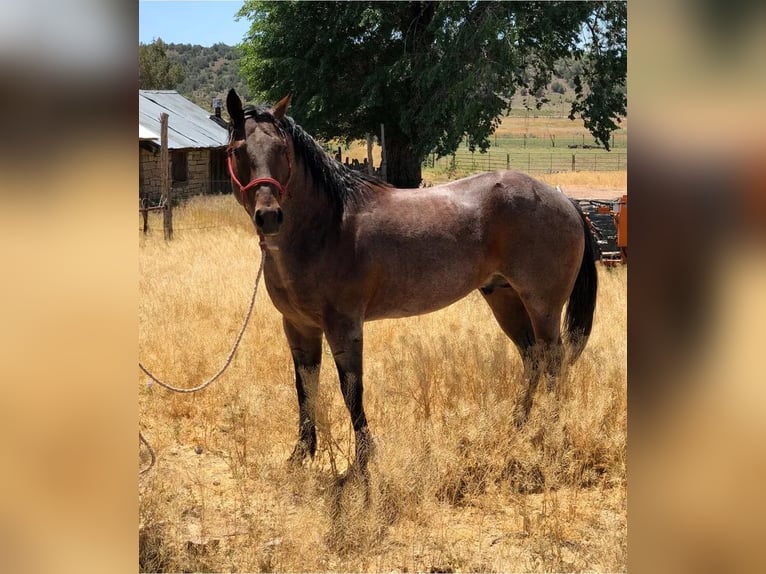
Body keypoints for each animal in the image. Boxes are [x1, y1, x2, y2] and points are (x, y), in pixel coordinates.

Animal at [225, 89, 596, 476]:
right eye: (237, 150)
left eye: (282, 150)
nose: (269, 216)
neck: (328, 226)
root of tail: (563, 199)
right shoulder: (298, 327)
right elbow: (305, 388)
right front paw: (300, 455)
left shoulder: (344, 326)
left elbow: (351, 389)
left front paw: (363, 460)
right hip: (504, 298)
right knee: (532, 357)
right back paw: (518, 425)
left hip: (543, 305)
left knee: (553, 360)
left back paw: (548, 431)